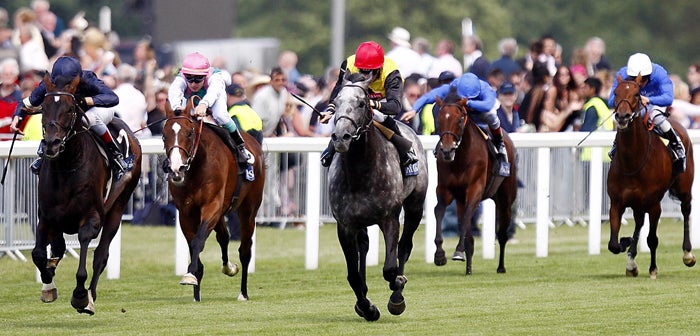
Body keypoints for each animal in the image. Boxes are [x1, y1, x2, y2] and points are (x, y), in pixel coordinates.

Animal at [32, 73, 142, 316]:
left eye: (70, 108)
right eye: (43, 107)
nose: (52, 144)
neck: (67, 167)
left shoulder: (92, 216)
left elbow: (84, 245)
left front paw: (80, 296)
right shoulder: (46, 216)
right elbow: (39, 254)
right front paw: (48, 284)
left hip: (117, 208)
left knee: (101, 255)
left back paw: (90, 297)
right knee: (59, 248)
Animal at [161, 96, 266, 302]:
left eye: (189, 133)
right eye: (163, 135)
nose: (176, 169)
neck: (196, 167)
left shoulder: (212, 206)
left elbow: (198, 241)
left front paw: (190, 275)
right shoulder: (186, 213)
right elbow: (194, 243)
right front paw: (195, 287)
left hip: (248, 209)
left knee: (245, 250)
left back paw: (243, 293)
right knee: (224, 236)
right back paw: (228, 267)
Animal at [328, 73, 426, 320]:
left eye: (362, 103)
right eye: (336, 102)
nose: (341, 137)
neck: (360, 173)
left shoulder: (389, 218)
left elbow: (390, 269)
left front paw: (397, 288)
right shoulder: (345, 225)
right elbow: (353, 274)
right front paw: (367, 307)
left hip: (415, 206)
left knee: (405, 246)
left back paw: (397, 293)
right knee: (364, 246)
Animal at [432, 87, 520, 276]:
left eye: (459, 120)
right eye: (439, 119)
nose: (447, 150)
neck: (460, 159)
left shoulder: (475, 189)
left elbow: (466, 218)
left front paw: (458, 251)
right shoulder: (445, 190)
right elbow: (439, 211)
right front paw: (439, 254)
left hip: (505, 198)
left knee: (502, 234)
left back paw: (501, 267)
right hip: (461, 199)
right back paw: (468, 268)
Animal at [608, 74, 696, 278]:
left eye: (636, 94)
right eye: (616, 93)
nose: (622, 116)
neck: (632, 162)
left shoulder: (655, 205)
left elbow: (652, 239)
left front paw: (653, 269)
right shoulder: (616, 202)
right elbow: (613, 244)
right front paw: (626, 243)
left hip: (684, 188)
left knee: (686, 210)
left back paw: (688, 254)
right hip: (638, 203)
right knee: (639, 222)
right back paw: (631, 262)